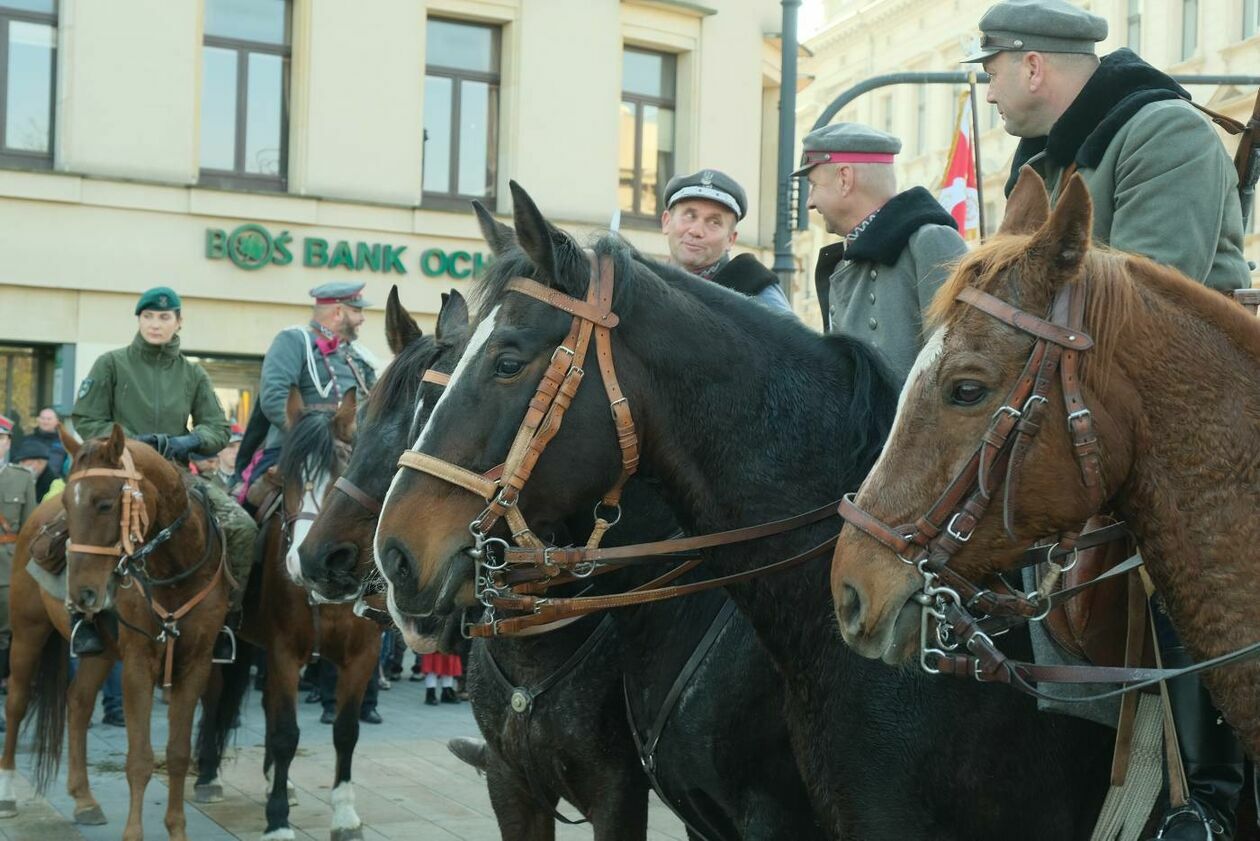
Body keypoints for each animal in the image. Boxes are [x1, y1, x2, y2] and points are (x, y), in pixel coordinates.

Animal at [0, 431, 236, 837]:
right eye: (69, 502)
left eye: (105, 503)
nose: (81, 594)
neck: (174, 573)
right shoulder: (138, 664)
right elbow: (139, 758)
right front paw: (133, 834)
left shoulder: (195, 663)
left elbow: (177, 753)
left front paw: (177, 830)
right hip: (29, 630)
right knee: (16, 701)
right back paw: (8, 794)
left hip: (103, 651)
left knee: (78, 701)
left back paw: (84, 800)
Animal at [241, 388, 383, 841]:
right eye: (282, 478)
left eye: (342, 471)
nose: (303, 563)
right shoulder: (284, 653)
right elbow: (286, 733)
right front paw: (278, 820)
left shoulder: (362, 658)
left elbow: (346, 730)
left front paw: (344, 811)